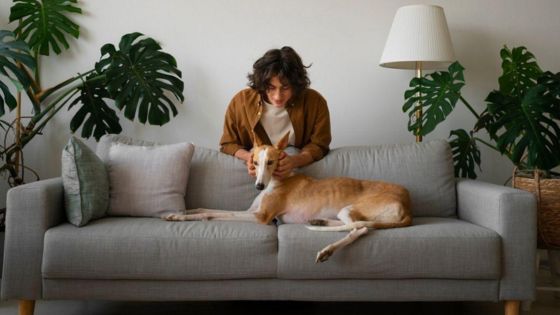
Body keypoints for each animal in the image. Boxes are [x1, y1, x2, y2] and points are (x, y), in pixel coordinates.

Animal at [164, 132, 414, 262]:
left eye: (271, 162)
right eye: (255, 162)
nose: (258, 186)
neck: (276, 180)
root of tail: (407, 207)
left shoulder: (260, 216)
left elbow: (212, 214)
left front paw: (182, 217)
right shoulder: (250, 211)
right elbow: (206, 208)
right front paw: (181, 211)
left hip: (351, 208)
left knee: (359, 229)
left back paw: (327, 250)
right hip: (346, 211)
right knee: (355, 226)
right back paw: (319, 222)